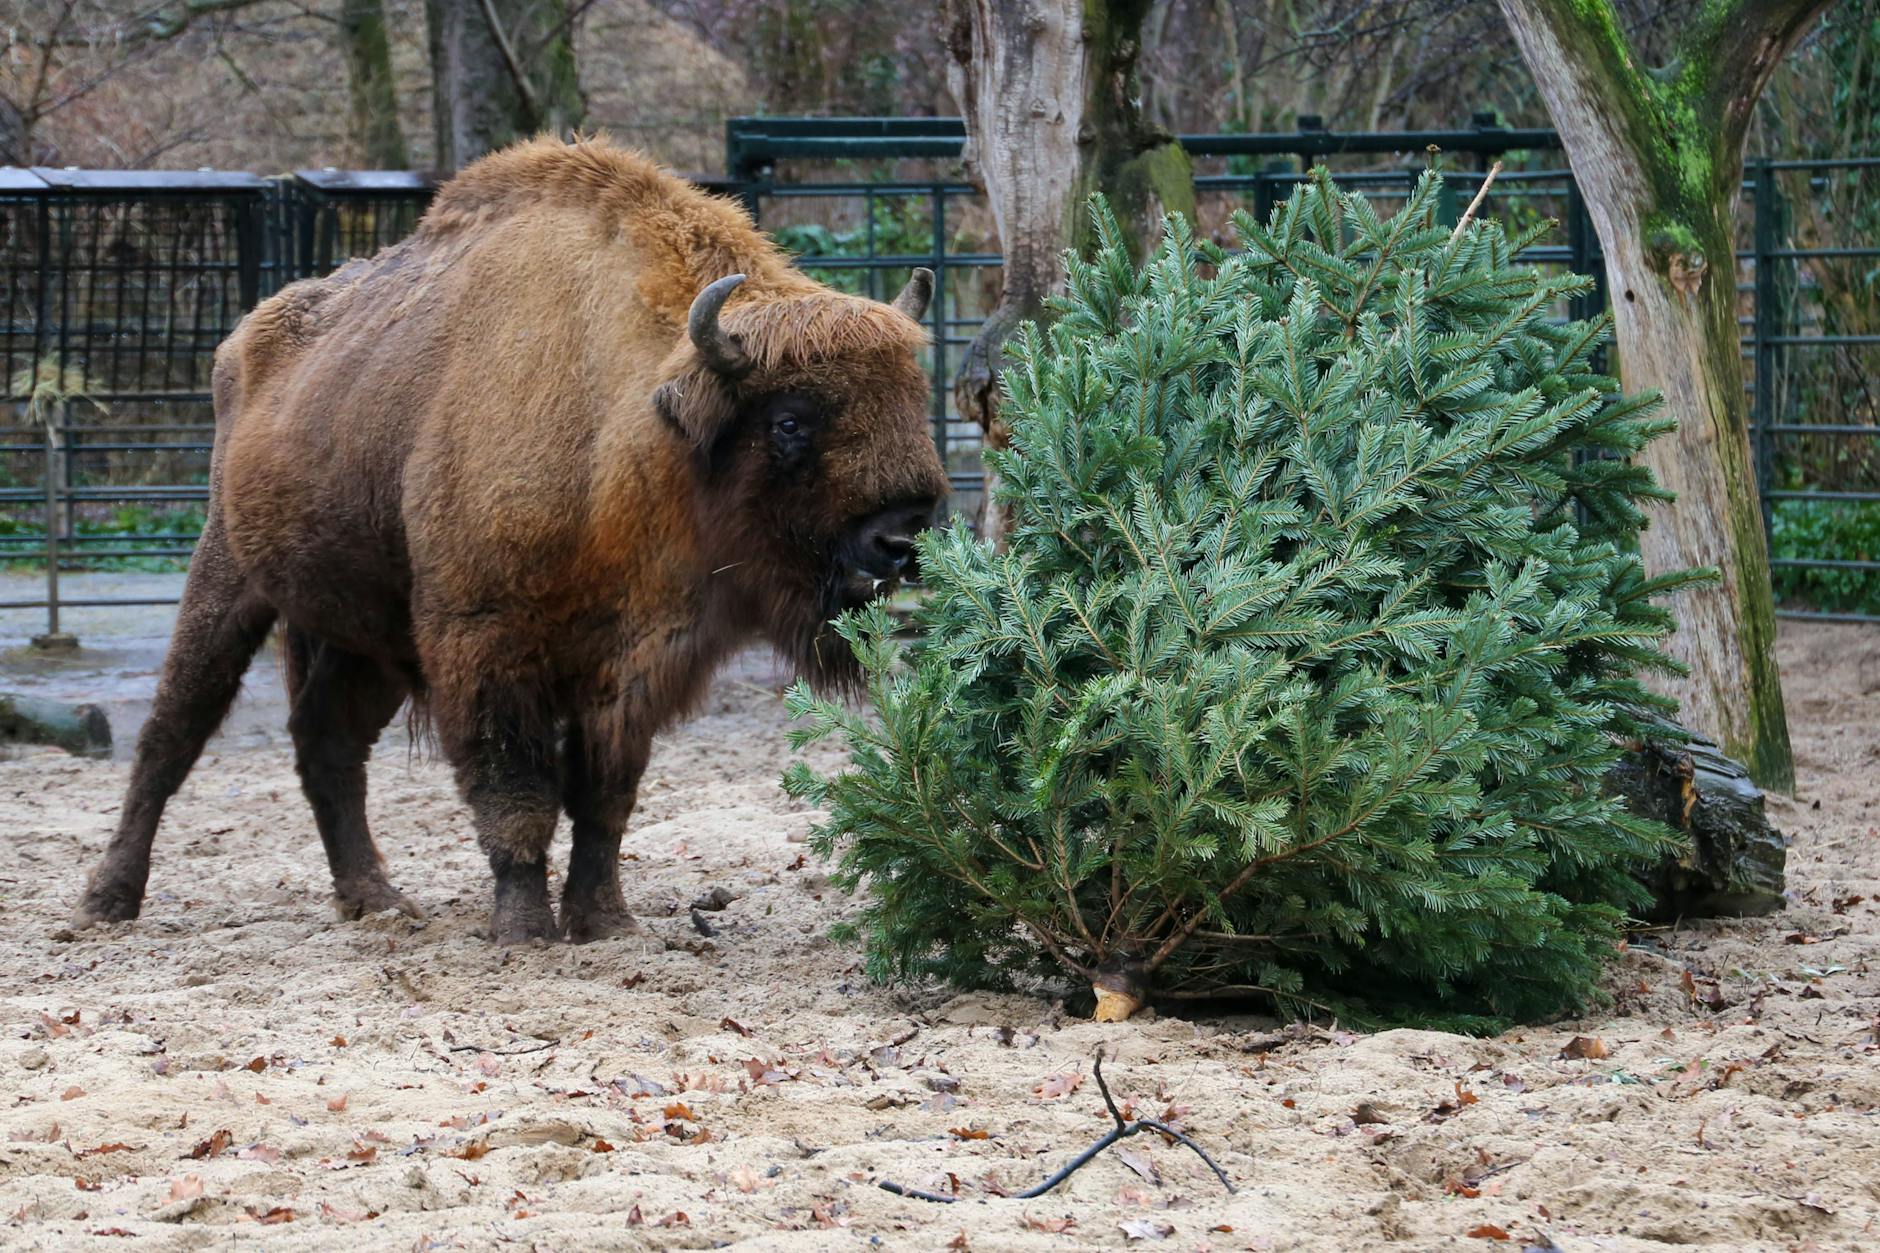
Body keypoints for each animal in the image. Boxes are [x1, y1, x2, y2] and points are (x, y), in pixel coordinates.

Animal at [74, 138, 948, 943]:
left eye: (913, 399)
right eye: (790, 420)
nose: (902, 540)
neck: (629, 426)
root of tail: (243, 342)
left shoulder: (625, 672)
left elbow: (603, 799)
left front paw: (605, 922)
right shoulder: (484, 646)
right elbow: (517, 793)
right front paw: (524, 928)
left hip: (363, 634)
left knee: (327, 746)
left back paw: (378, 901)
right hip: (228, 572)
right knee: (173, 729)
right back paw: (107, 902)